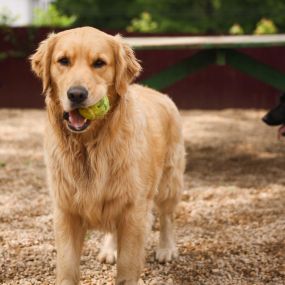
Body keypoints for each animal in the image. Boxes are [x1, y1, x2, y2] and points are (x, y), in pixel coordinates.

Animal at [29, 27, 184, 284]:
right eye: (63, 61)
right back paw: (110, 249)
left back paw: (166, 248)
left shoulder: (133, 212)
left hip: (169, 182)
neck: (90, 147)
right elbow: (67, 267)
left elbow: (127, 267)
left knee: (167, 217)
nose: (76, 94)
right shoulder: (66, 211)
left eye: (99, 63)